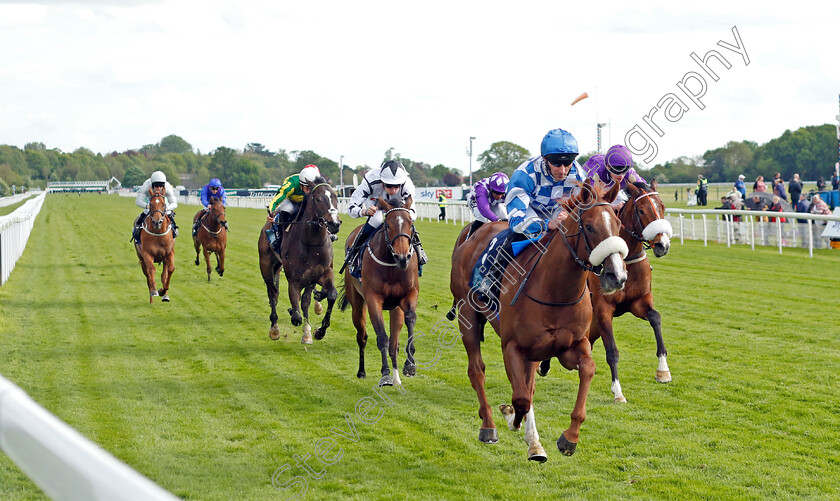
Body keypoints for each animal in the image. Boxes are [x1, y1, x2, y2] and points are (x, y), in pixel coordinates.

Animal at [260, 182, 344, 342]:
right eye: (318, 199)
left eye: (336, 197)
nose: (335, 223)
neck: (311, 243)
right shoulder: (295, 279)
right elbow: (297, 314)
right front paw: (295, 316)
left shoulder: (321, 273)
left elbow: (330, 295)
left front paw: (319, 331)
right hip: (266, 267)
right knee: (272, 293)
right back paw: (274, 328)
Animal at [340, 197, 418, 384]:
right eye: (388, 225)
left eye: (410, 223)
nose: (402, 257)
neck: (392, 266)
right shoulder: (373, 299)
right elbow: (382, 337)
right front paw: (385, 374)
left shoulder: (409, 294)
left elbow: (410, 319)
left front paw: (410, 365)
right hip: (357, 304)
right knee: (362, 337)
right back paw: (362, 371)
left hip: (395, 309)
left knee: (394, 343)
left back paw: (397, 377)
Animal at [450, 179, 628, 460]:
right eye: (589, 226)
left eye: (618, 224)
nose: (617, 276)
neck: (554, 289)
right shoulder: (512, 346)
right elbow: (520, 399)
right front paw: (511, 417)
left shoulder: (570, 346)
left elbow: (586, 369)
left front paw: (569, 437)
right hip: (467, 312)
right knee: (477, 370)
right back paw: (488, 425)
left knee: (527, 383)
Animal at [540, 182, 676, 400]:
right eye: (641, 210)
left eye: (662, 206)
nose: (663, 244)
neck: (627, 262)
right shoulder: (604, 309)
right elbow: (612, 350)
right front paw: (618, 391)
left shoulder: (639, 301)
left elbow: (655, 317)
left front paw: (663, 371)